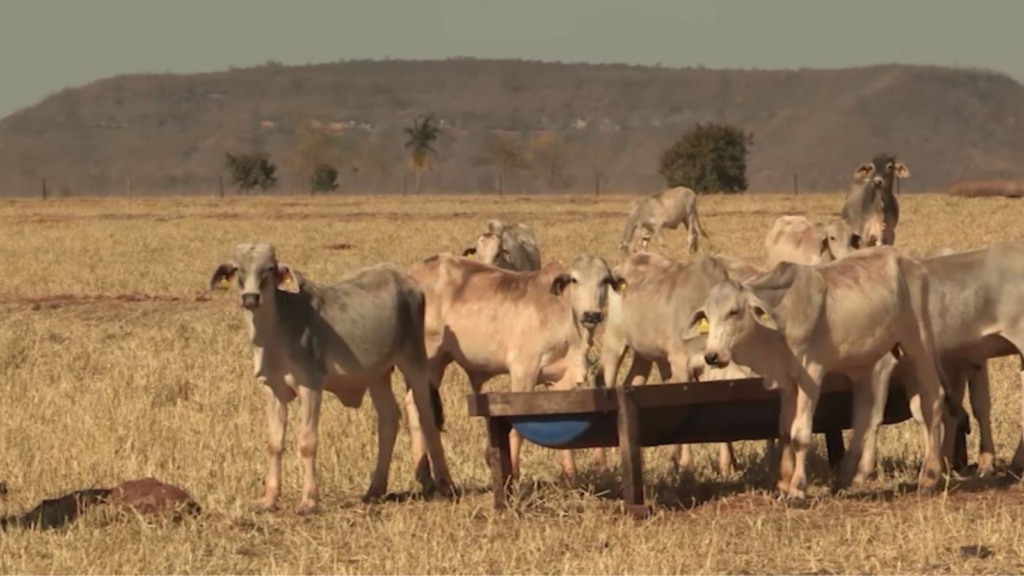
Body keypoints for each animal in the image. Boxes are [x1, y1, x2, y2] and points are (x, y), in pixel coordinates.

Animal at [209, 241, 454, 510]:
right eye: (237, 269)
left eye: (270, 268)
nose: (251, 297)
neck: (277, 331)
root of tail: (407, 280)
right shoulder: (273, 390)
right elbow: (274, 444)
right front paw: (269, 499)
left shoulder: (311, 385)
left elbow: (307, 442)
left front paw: (309, 500)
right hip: (378, 374)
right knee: (389, 418)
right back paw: (374, 489)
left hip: (414, 361)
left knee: (426, 417)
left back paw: (444, 485)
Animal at [407, 253, 622, 477]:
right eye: (574, 280)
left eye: (605, 280)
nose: (592, 314)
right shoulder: (524, 371)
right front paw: (513, 472)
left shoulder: (560, 379)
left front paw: (571, 474)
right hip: (431, 361)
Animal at [688, 247, 958, 502]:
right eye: (707, 316)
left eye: (733, 312)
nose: (712, 355)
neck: (779, 319)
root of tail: (910, 261)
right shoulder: (787, 382)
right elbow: (784, 430)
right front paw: (782, 485)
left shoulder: (811, 374)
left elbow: (800, 434)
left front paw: (797, 490)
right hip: (885, 359)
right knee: (871, 416)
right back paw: (846, 476)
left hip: (919, 345)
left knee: (932, 402)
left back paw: (929, 477)